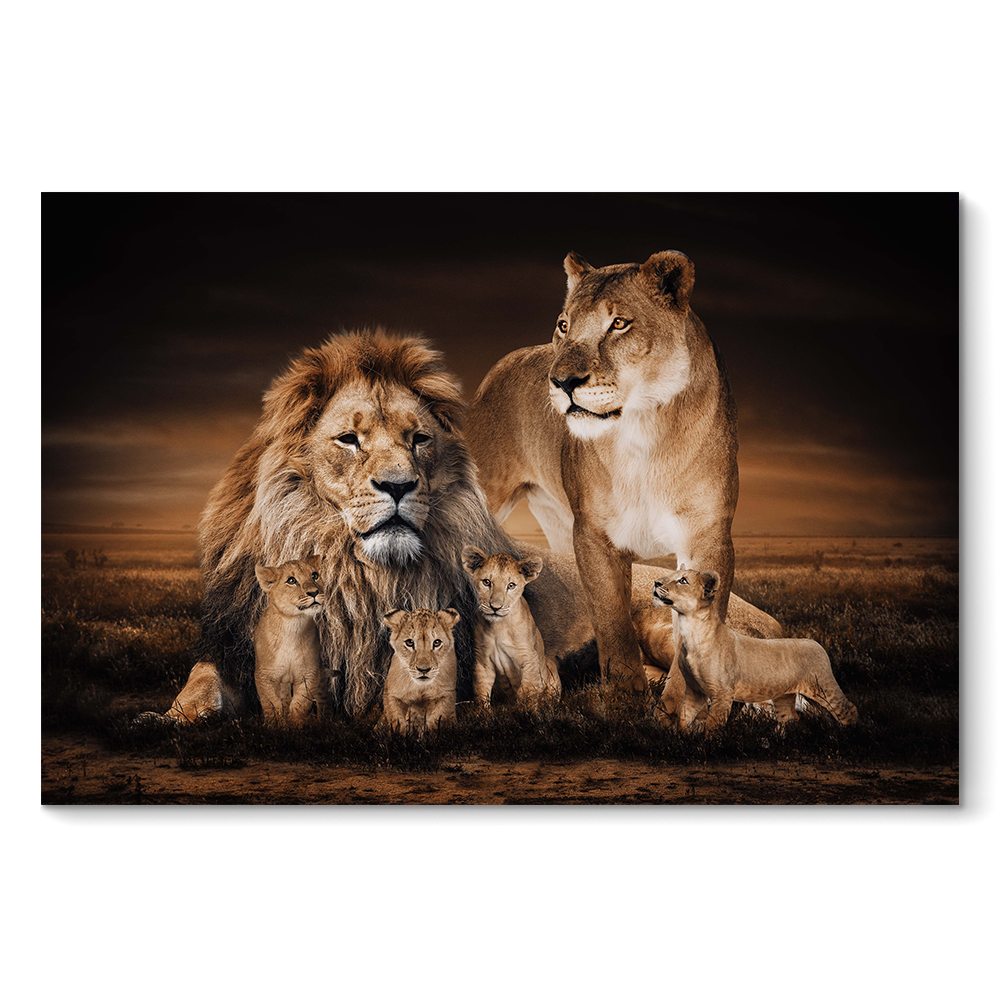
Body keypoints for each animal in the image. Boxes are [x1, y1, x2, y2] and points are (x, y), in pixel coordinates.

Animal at [252, 557, 328, 724]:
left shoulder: (309, 674)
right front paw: (277, 726)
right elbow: (272, 704)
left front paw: (295, 725)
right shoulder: (264, 675)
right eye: (291, 580)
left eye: (314, 575)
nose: (314, 592)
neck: (293, 625)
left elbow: (300, 704)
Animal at [461, 545, 561, 711]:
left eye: (511, 585)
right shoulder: (482, 659)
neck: (498, 627)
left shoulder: (529, 657)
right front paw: (482, 713)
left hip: (550, 667)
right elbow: (481, 690)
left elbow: (527, 689)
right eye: (487, 582)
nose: (495, 607)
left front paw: (525, 712)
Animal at [466, 250, 741, 695]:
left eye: (619, 324)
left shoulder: (709, 534)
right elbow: (612, 618)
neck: (644, 431)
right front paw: (626, 692)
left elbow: (703, 623)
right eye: (564, 325)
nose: (562, 382)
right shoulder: (593, 533)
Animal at [651, 567, 858, 732]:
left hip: (822, 687)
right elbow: (684, 718)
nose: (656, 582)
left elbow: (712, 725)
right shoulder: (695, 690)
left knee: (849, 709)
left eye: (683, 580)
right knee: (790, 717)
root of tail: (816, 643)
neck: (690, 630)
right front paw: (682, 740)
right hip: (784, 695)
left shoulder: (722, 693)